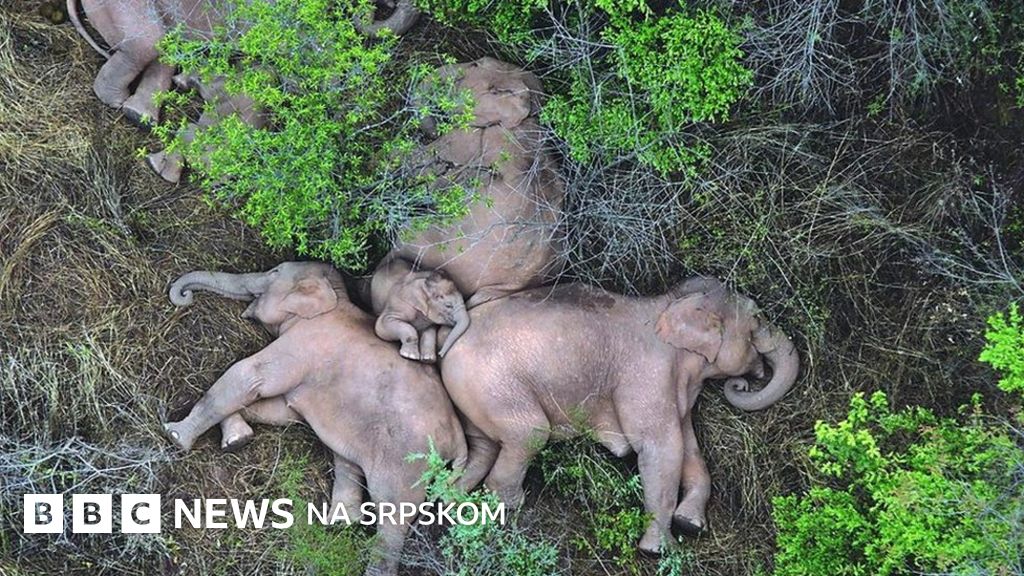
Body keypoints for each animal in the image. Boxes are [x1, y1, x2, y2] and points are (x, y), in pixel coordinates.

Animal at [163, 261, 466, 576]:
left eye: (273, 273)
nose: (184, 295)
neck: (334, 296)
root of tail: (459, 439)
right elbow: (280, 410)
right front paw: (237, 439)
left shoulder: (304, 342)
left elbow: (250, 376)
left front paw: (175, 435)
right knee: (347, 461)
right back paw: (340, 523)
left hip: (407, 462)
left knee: (392, 515)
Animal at [439, 278, 799, 553]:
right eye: (757, 319)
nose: (742, 382)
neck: (670, 303)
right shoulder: (647, 376)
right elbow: (661, 448)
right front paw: (660, 550)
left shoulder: (676, 389)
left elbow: (689, 449)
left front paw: (690, 524)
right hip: (491, 382)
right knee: (530, 434)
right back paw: (510, 506)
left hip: (474, 395)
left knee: (483, 447)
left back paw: (456, 498)